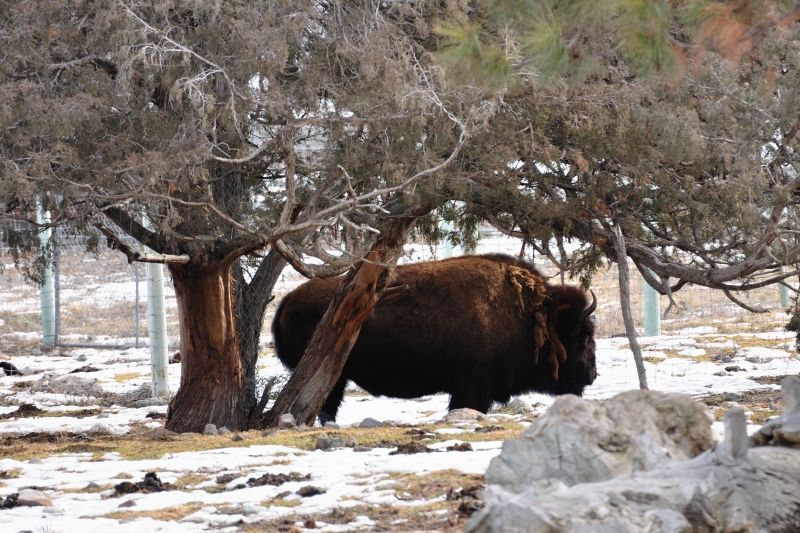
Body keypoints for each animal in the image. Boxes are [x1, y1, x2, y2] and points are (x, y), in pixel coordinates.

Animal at [272, 254, 598, 422]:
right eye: (581, 336)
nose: (593, 374)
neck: (529, 315)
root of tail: (287, 301)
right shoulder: (473, 385)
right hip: (333, 376)